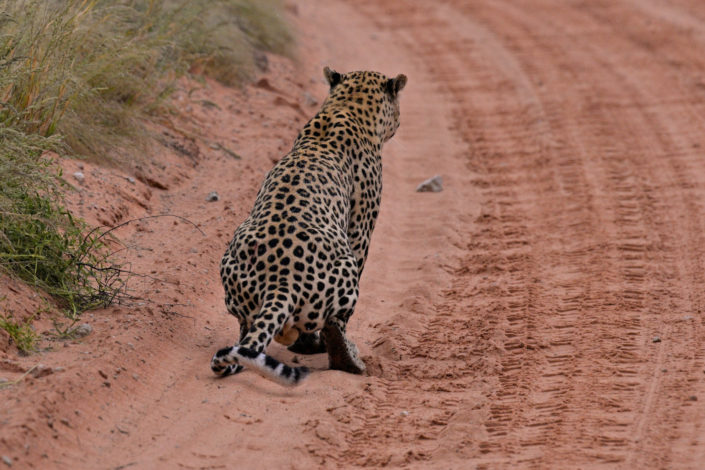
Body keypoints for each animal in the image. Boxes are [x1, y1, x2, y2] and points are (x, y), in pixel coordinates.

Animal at [210, 67, 407, 386]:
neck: (346, 107)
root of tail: (280, 281)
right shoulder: (360, 232)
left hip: (233, 269)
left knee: (248, 328)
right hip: (345, 266)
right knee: (333, 324)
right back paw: (346, 359)